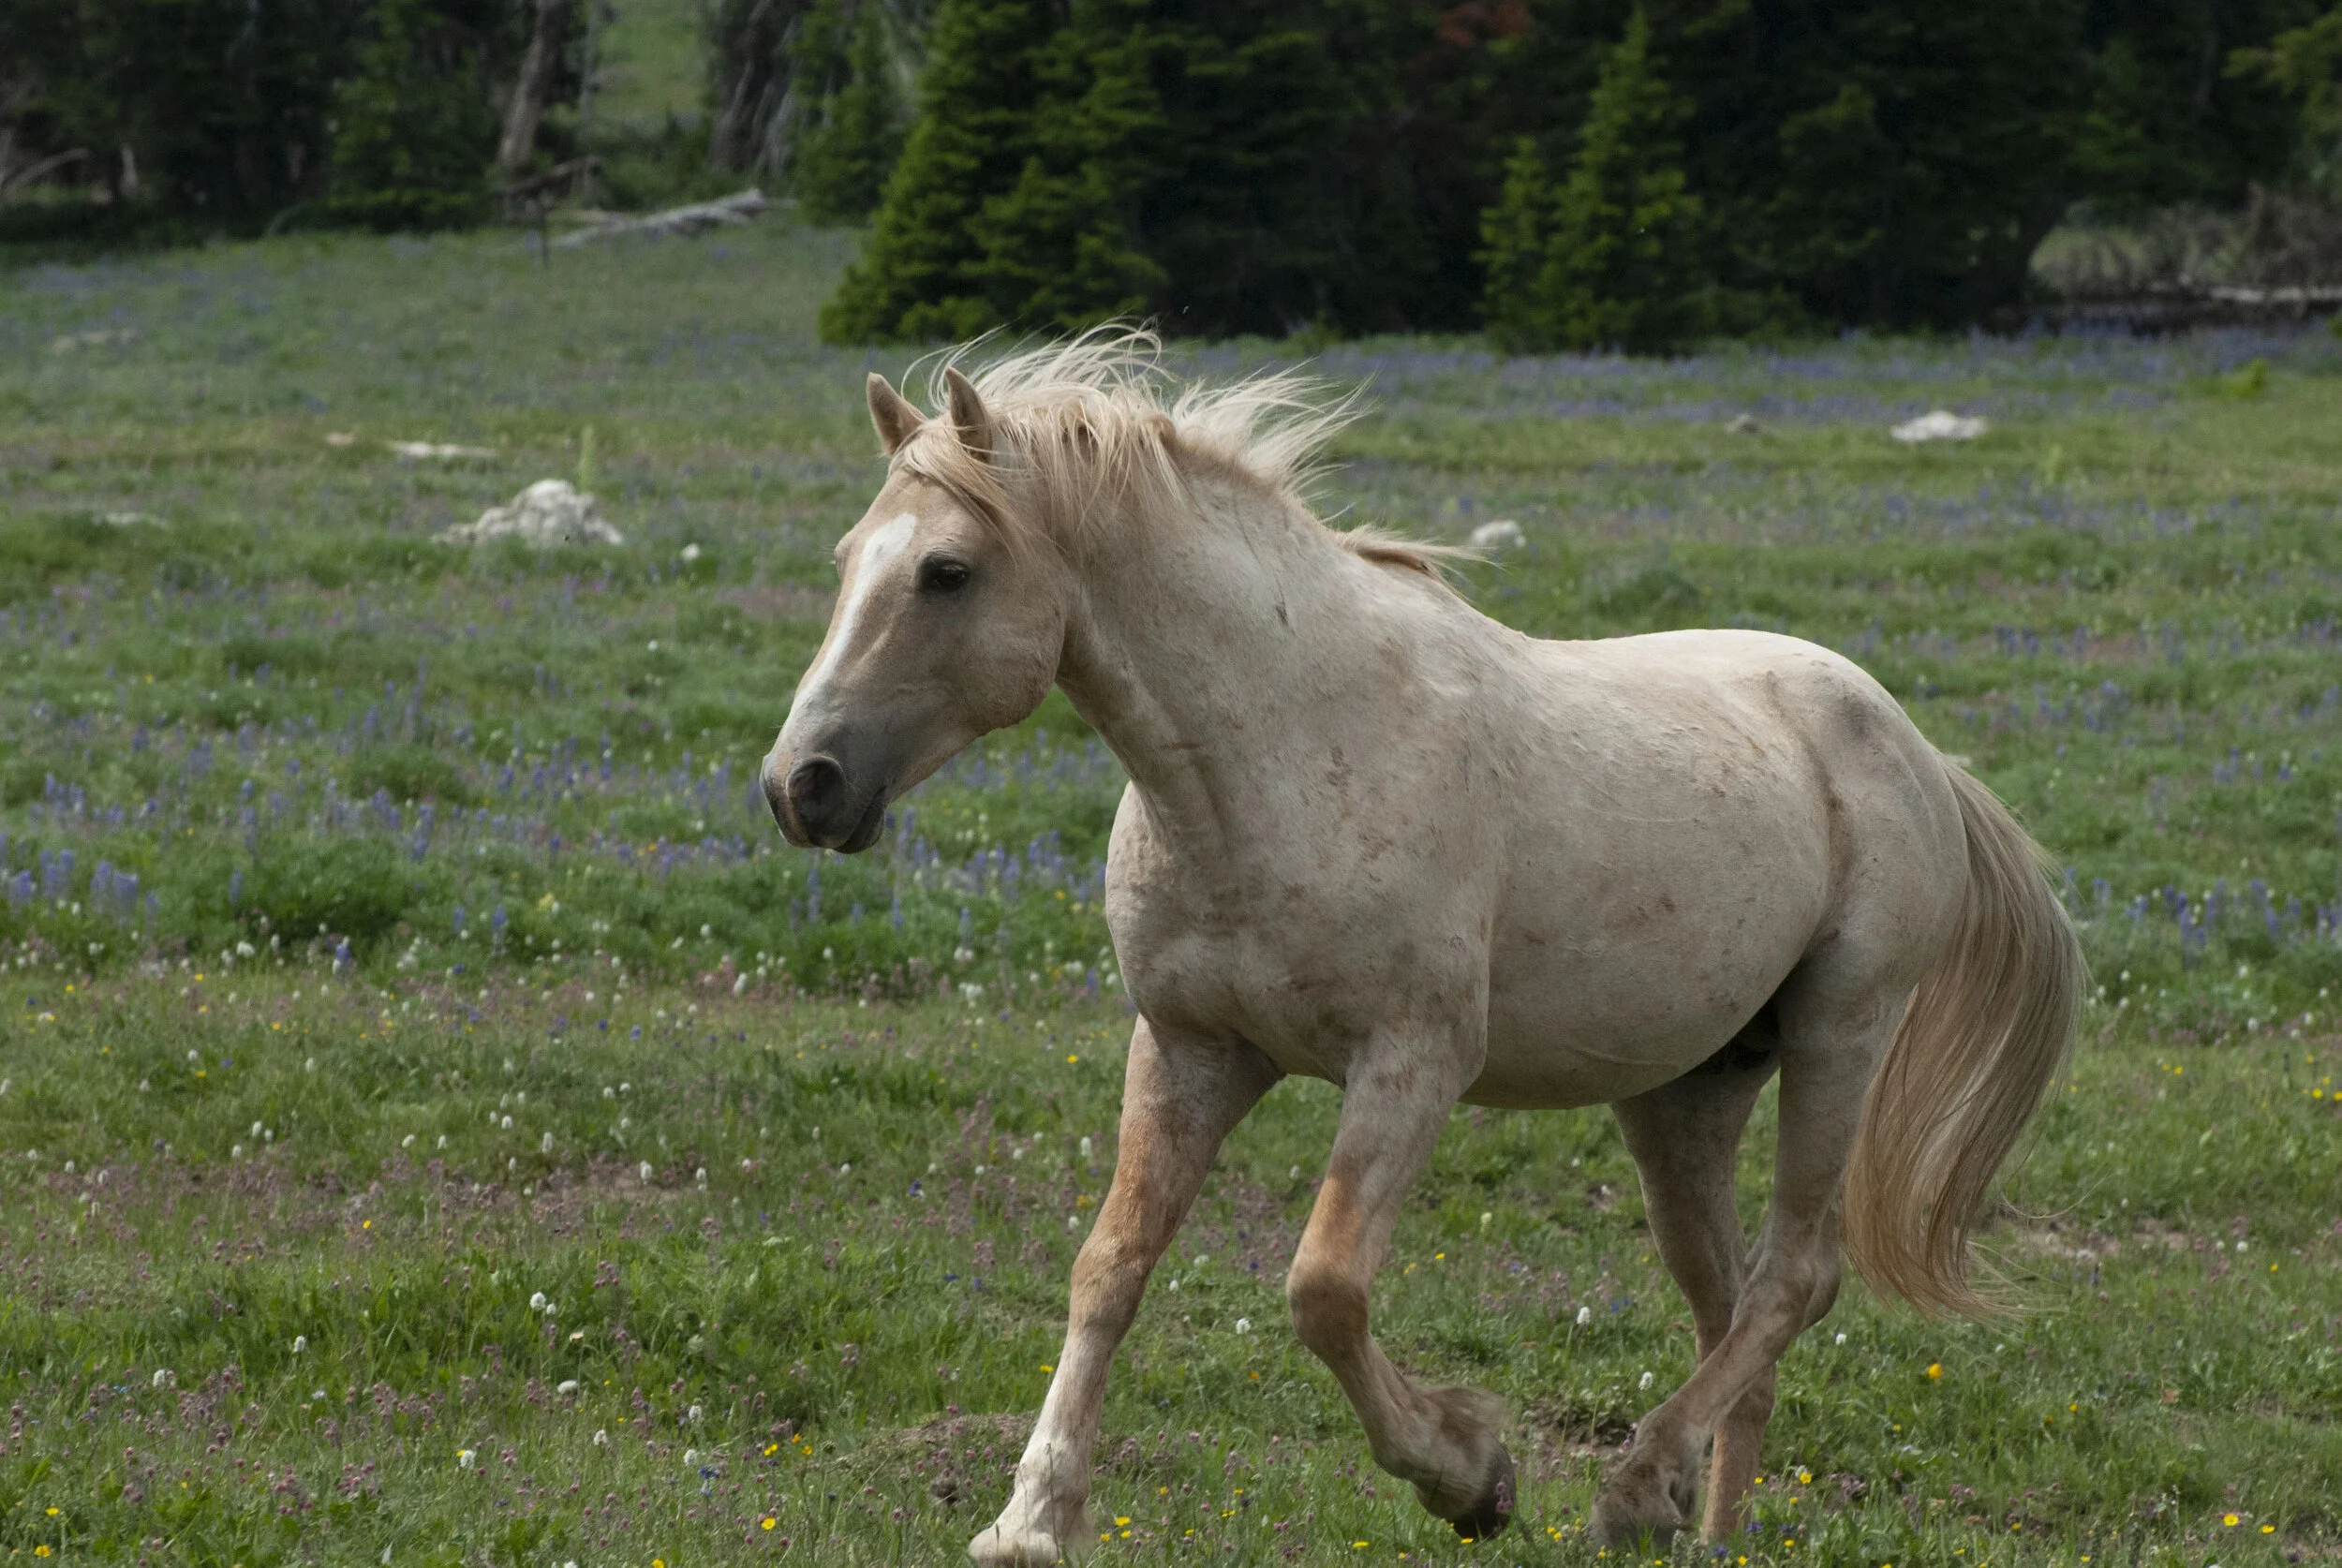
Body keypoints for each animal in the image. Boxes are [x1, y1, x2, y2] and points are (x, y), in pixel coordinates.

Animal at [761, 330, 2083, 1563]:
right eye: (844, 561)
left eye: (946, 571)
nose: (799, 785)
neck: (1277, 756)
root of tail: (1913, 745)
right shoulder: (1189, 1050)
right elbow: (1110, 1266)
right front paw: (1030, 1518)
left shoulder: (1412, 1063)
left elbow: (1324, 1289)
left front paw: (1470, 1476)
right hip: (1684, 1096)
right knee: (1731, 1308)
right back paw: (1698, 1525)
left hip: (1837, 1033)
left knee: (1795, 1278)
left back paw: (1632, 1488)